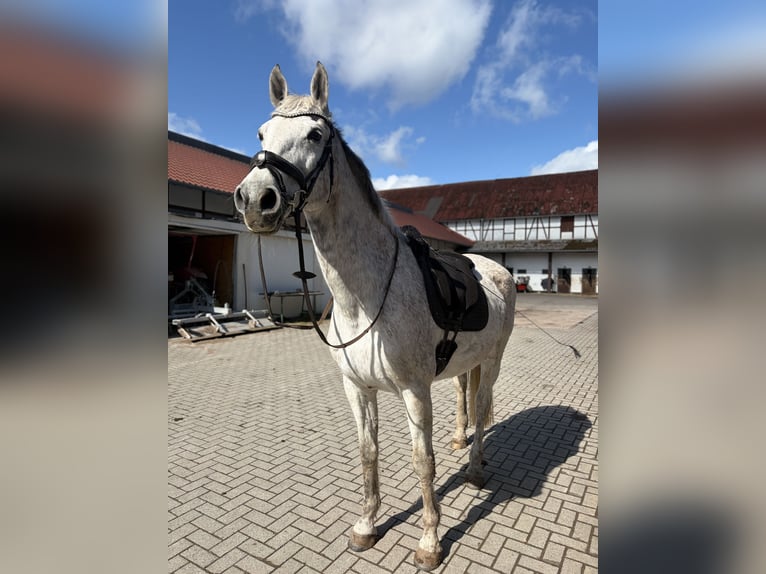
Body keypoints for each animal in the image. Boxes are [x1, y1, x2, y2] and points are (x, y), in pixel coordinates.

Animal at [234, 62, 516, 571]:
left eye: (315, 134)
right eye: (262, 132)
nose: (255, 199)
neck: (365, 297)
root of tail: (495, 269)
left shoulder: (414, 391)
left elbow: (422, 461)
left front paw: (430, 541)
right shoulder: (358, 388)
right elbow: (368, 453)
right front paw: (367, 526)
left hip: (494, 360)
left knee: (484, 406)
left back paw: (476, 468)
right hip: (467, 363)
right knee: (466, 398)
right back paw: (461, 443)